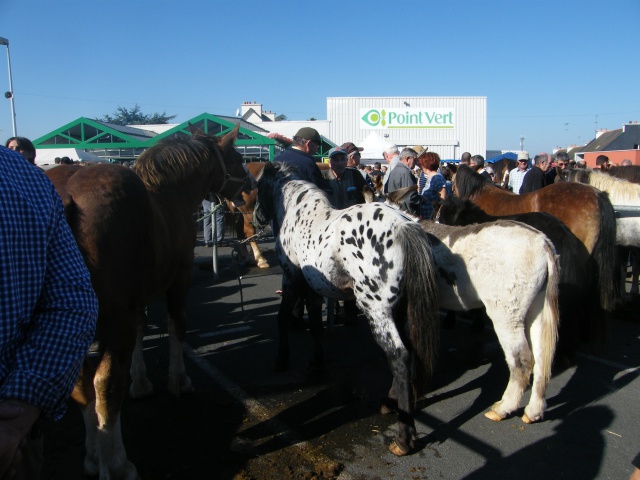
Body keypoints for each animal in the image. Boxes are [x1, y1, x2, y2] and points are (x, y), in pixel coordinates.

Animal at [45, 127, 249, 480]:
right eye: (237, 157)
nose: (251, 188)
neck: (169, 194)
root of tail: (67, 198)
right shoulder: (180, 278)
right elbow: (177, 326)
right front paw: (178, 380)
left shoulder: (137, 299)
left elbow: (143, 331)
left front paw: (140, 382)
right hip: (114, 319)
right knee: (105, 383)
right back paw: (116, 463)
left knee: (81, 383)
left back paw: (93, 455)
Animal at [254, 160, 440, 454]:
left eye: (259, 185)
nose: (256, 218)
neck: (297, 214)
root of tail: (404, 227)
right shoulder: (313, 288)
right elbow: (315, 325)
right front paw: (316, 362)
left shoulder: (291, 279)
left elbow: (282, 318)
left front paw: (281, 359)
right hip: (401, 310)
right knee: (408, 351)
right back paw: (389, 403)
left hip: (377, 311)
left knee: (398, 356)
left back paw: (404, 437)